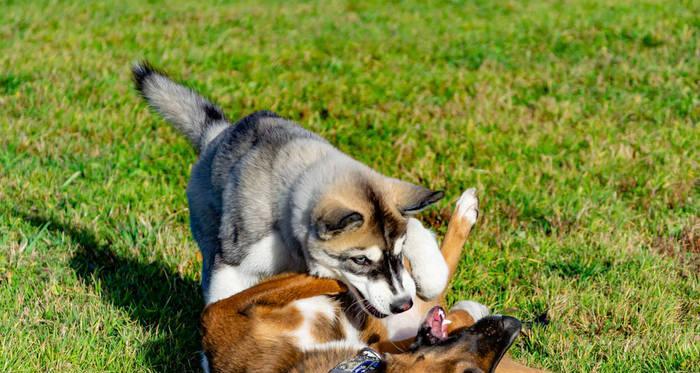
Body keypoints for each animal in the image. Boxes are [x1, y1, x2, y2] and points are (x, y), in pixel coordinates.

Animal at [132, 61, 448, 314]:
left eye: (398, 254)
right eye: (359, 259)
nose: (403, 305)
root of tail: (218, 134)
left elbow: (416, 227)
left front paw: (433, 275)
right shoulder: (233, 265)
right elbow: (224, 299)